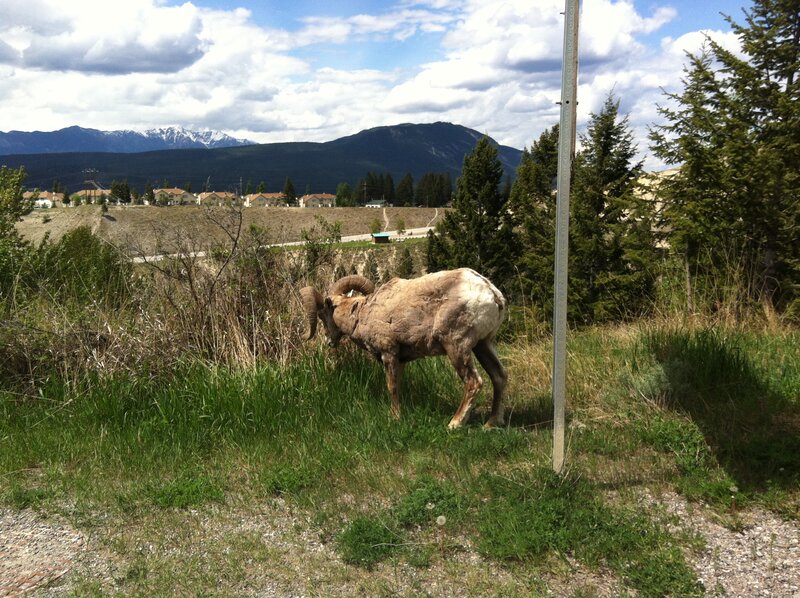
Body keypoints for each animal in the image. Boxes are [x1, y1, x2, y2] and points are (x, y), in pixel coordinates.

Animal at [299, 268, 507, 429]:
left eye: (322, 314)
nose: (329, 341)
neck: (361, 314)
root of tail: (492, 294)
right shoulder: (401, 360)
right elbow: (398, 386)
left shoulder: (389, 354)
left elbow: (391, 386)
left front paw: (395, 418)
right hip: (483, 345)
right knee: (499, 376)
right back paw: (491, 424)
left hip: (457, 346)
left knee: (474, 382)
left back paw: (454, 424)